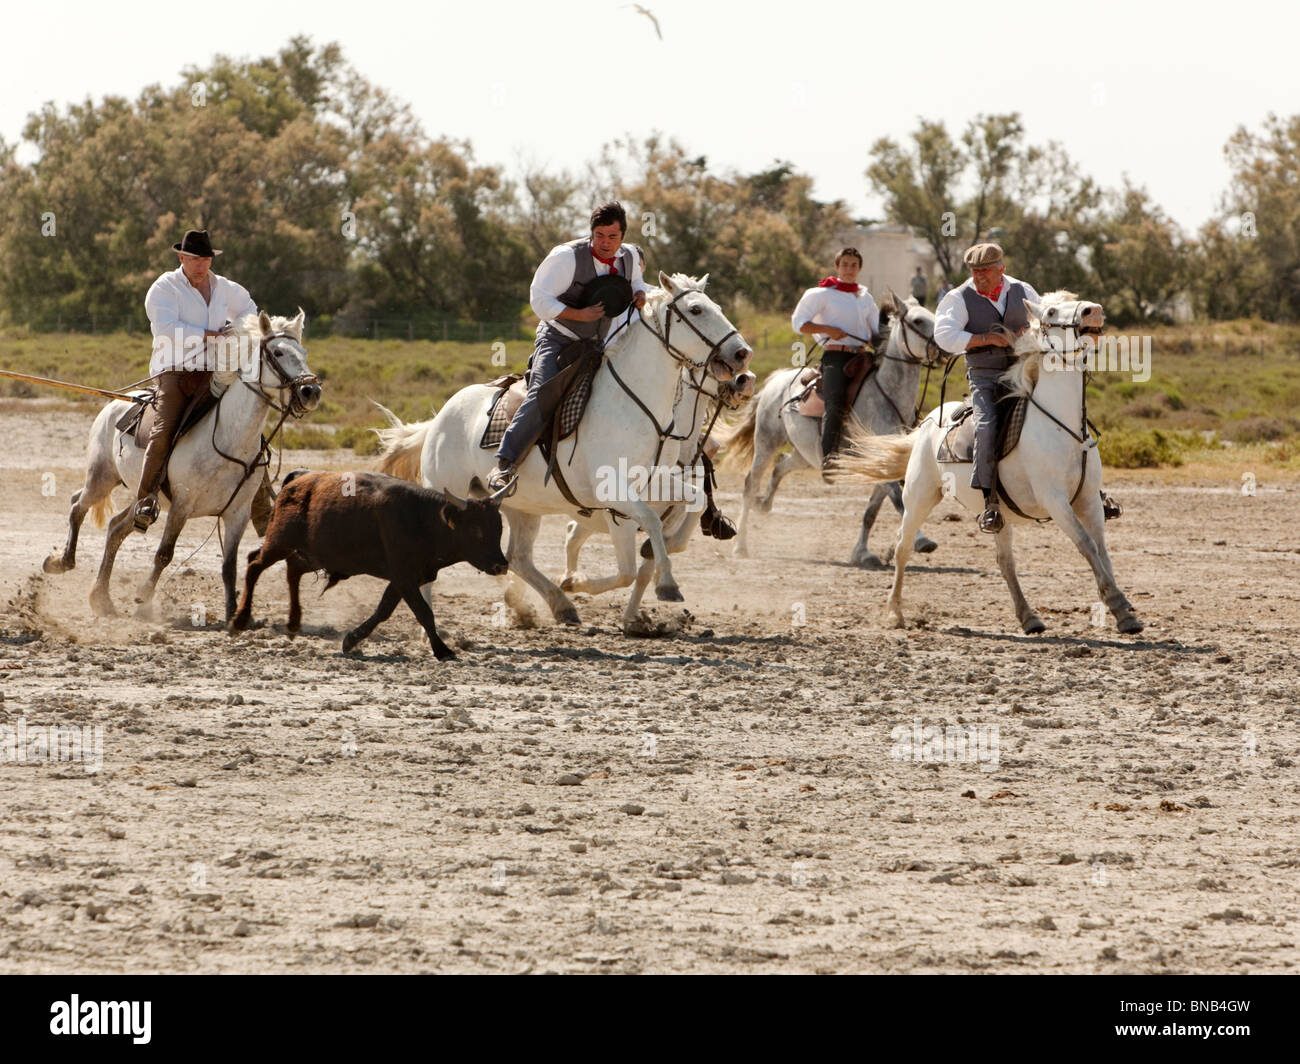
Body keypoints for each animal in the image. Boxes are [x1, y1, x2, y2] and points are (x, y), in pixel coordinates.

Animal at [46, 306, 322, 616]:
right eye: (278, 352)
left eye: (304, 352)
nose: (311, 392)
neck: (228, 437)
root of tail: (116, 403)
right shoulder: (181, 506)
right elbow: (164, 554)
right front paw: (143, 598)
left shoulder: (237, 513)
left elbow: (229, 566)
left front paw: (232, 612)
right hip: (102, 477)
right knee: (77, 506)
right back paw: (62, 562)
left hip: (142, 493)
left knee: (116, 527)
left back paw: (101, 597)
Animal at [556, 366, 759, 626]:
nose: (747, 379)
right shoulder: (626, 517)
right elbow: (632, 569)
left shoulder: (669, 521)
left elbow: (655, 561)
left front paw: (635, 614)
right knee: (572, 536)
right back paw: (567, 583)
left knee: (573, 534)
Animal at [722, 293, 946, 564]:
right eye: (918, 320)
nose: (944, 344)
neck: (887, 395)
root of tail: (775, 380)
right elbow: (900, 504)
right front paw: (921, 540)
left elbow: (872, 512)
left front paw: (862, 553)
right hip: (766, 442)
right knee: (750, 484)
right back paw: (740, 546)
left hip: (807, 454)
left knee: (780, 466)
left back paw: (764, 505)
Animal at [837, 290, 1144, 634]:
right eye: (1051, 311)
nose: (1094, 311)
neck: (1061, 425)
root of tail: (927, 422)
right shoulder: (1056, 501)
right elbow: (1087, 545)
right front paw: (1118, 605)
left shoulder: (1089, 500)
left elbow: (1103, 552)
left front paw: (1124, 612)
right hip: (919, 496)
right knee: (903, 547)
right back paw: (895, 613)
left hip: (1000, 516)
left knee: (1005, 563)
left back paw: (1029, 617)